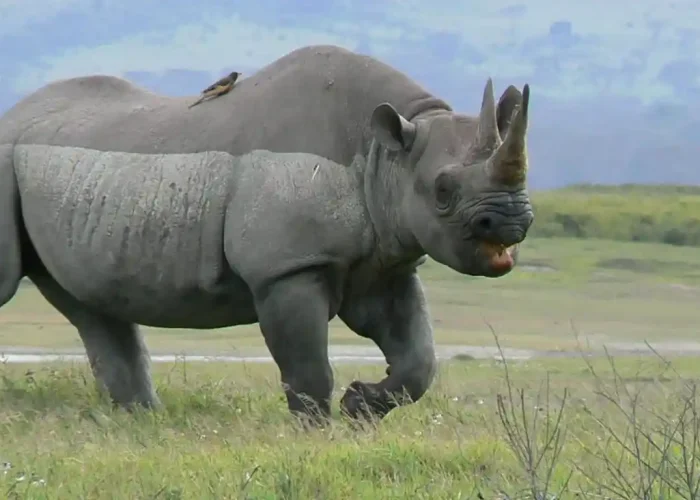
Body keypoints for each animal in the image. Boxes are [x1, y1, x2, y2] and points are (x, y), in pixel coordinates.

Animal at [0, 44, 533, 423]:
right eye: (443, 190)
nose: (513, 222)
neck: (389, 152)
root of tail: (13, 114)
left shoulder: (385, 261)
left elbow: (419, 359)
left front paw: (360, 407)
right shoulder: (287, 267)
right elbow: (307, 367)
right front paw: (316, 434)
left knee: (91, 305)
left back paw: (141, 422)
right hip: (8, 157)